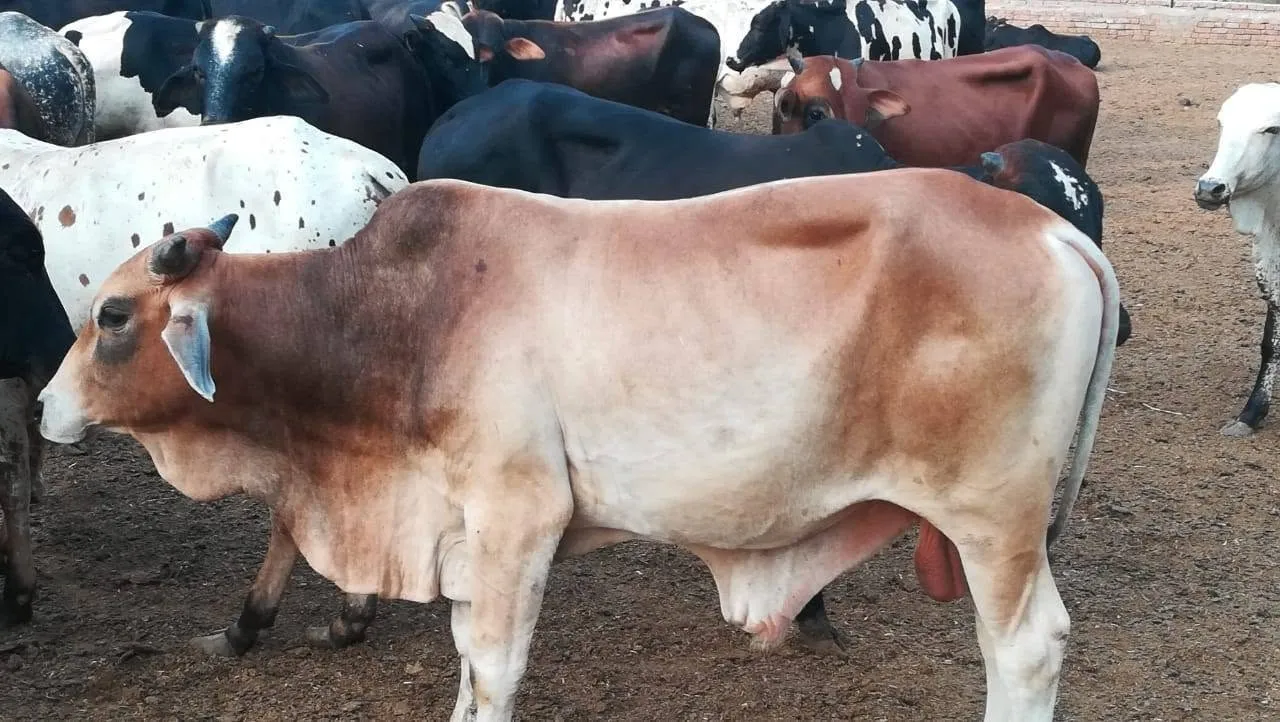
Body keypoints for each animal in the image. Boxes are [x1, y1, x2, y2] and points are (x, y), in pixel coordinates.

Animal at [39, 167, 1117, 720]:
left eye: (114, 315)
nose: (45, 404)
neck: (393, 318)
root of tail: (1054, 231)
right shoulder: (466, 527)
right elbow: (467, 659)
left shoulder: (518, 511)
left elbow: (496, 666)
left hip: (992, 517)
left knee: (1025, 650)